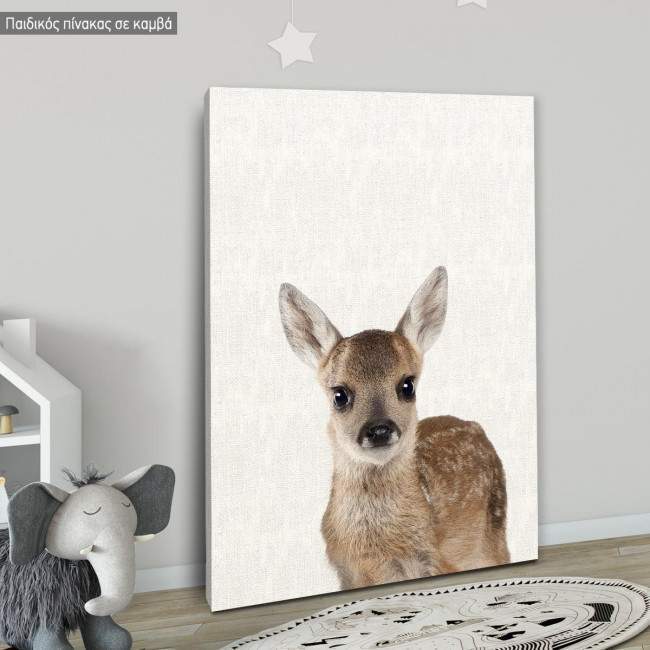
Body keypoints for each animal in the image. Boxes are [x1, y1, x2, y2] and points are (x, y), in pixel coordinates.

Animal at [279, 266, 510, 590]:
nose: (379, 429)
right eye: (339, 395)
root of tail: (475, 426)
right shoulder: (347, 572)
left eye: (407, 385)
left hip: (494, 531)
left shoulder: (434, 560)